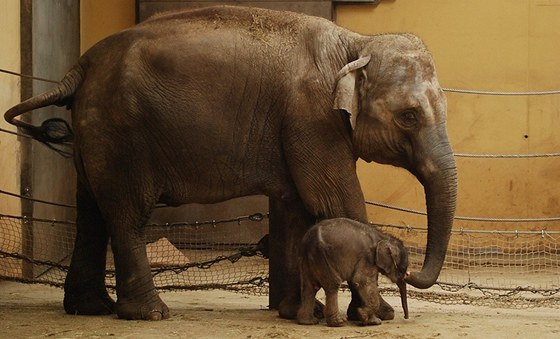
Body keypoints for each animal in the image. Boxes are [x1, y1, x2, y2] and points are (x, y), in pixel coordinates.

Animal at [6, 6, 458, 322]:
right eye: (409, 116)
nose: (411, 274)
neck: (356, 43)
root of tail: (81, 66)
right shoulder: (313, 119)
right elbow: (335, 201)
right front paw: (376, 315)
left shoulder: (302, 127)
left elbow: (298, 207)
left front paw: (297, 314)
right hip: (120, 132)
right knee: (126, 214)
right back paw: (149, 314)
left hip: (97, 132)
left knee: (92, 211)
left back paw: (90, 308)